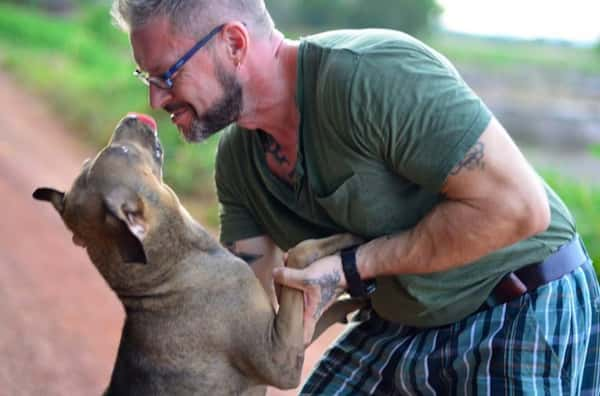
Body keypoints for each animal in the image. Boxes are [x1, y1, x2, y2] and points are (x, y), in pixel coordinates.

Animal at [32, 113, 360, 392]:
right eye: (122, 152)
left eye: (91, 160)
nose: (132, 116)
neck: (173, 268)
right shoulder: (280, 359)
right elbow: (302, 251)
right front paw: (354, 236)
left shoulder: (291, 338)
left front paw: (351, 304)